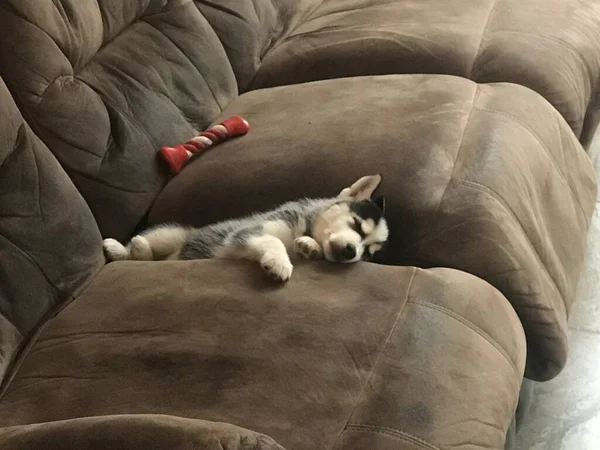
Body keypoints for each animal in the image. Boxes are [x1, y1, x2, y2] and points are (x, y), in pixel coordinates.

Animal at [103, 173, 390, 282]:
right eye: (357, 225)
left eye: (368, 253)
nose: (352, 252)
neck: (303, 226)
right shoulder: (248, 232)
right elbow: (273, 241)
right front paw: (280, 262)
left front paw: (310, 247)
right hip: (171, 233)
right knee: (140, 248)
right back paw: (123, 248)